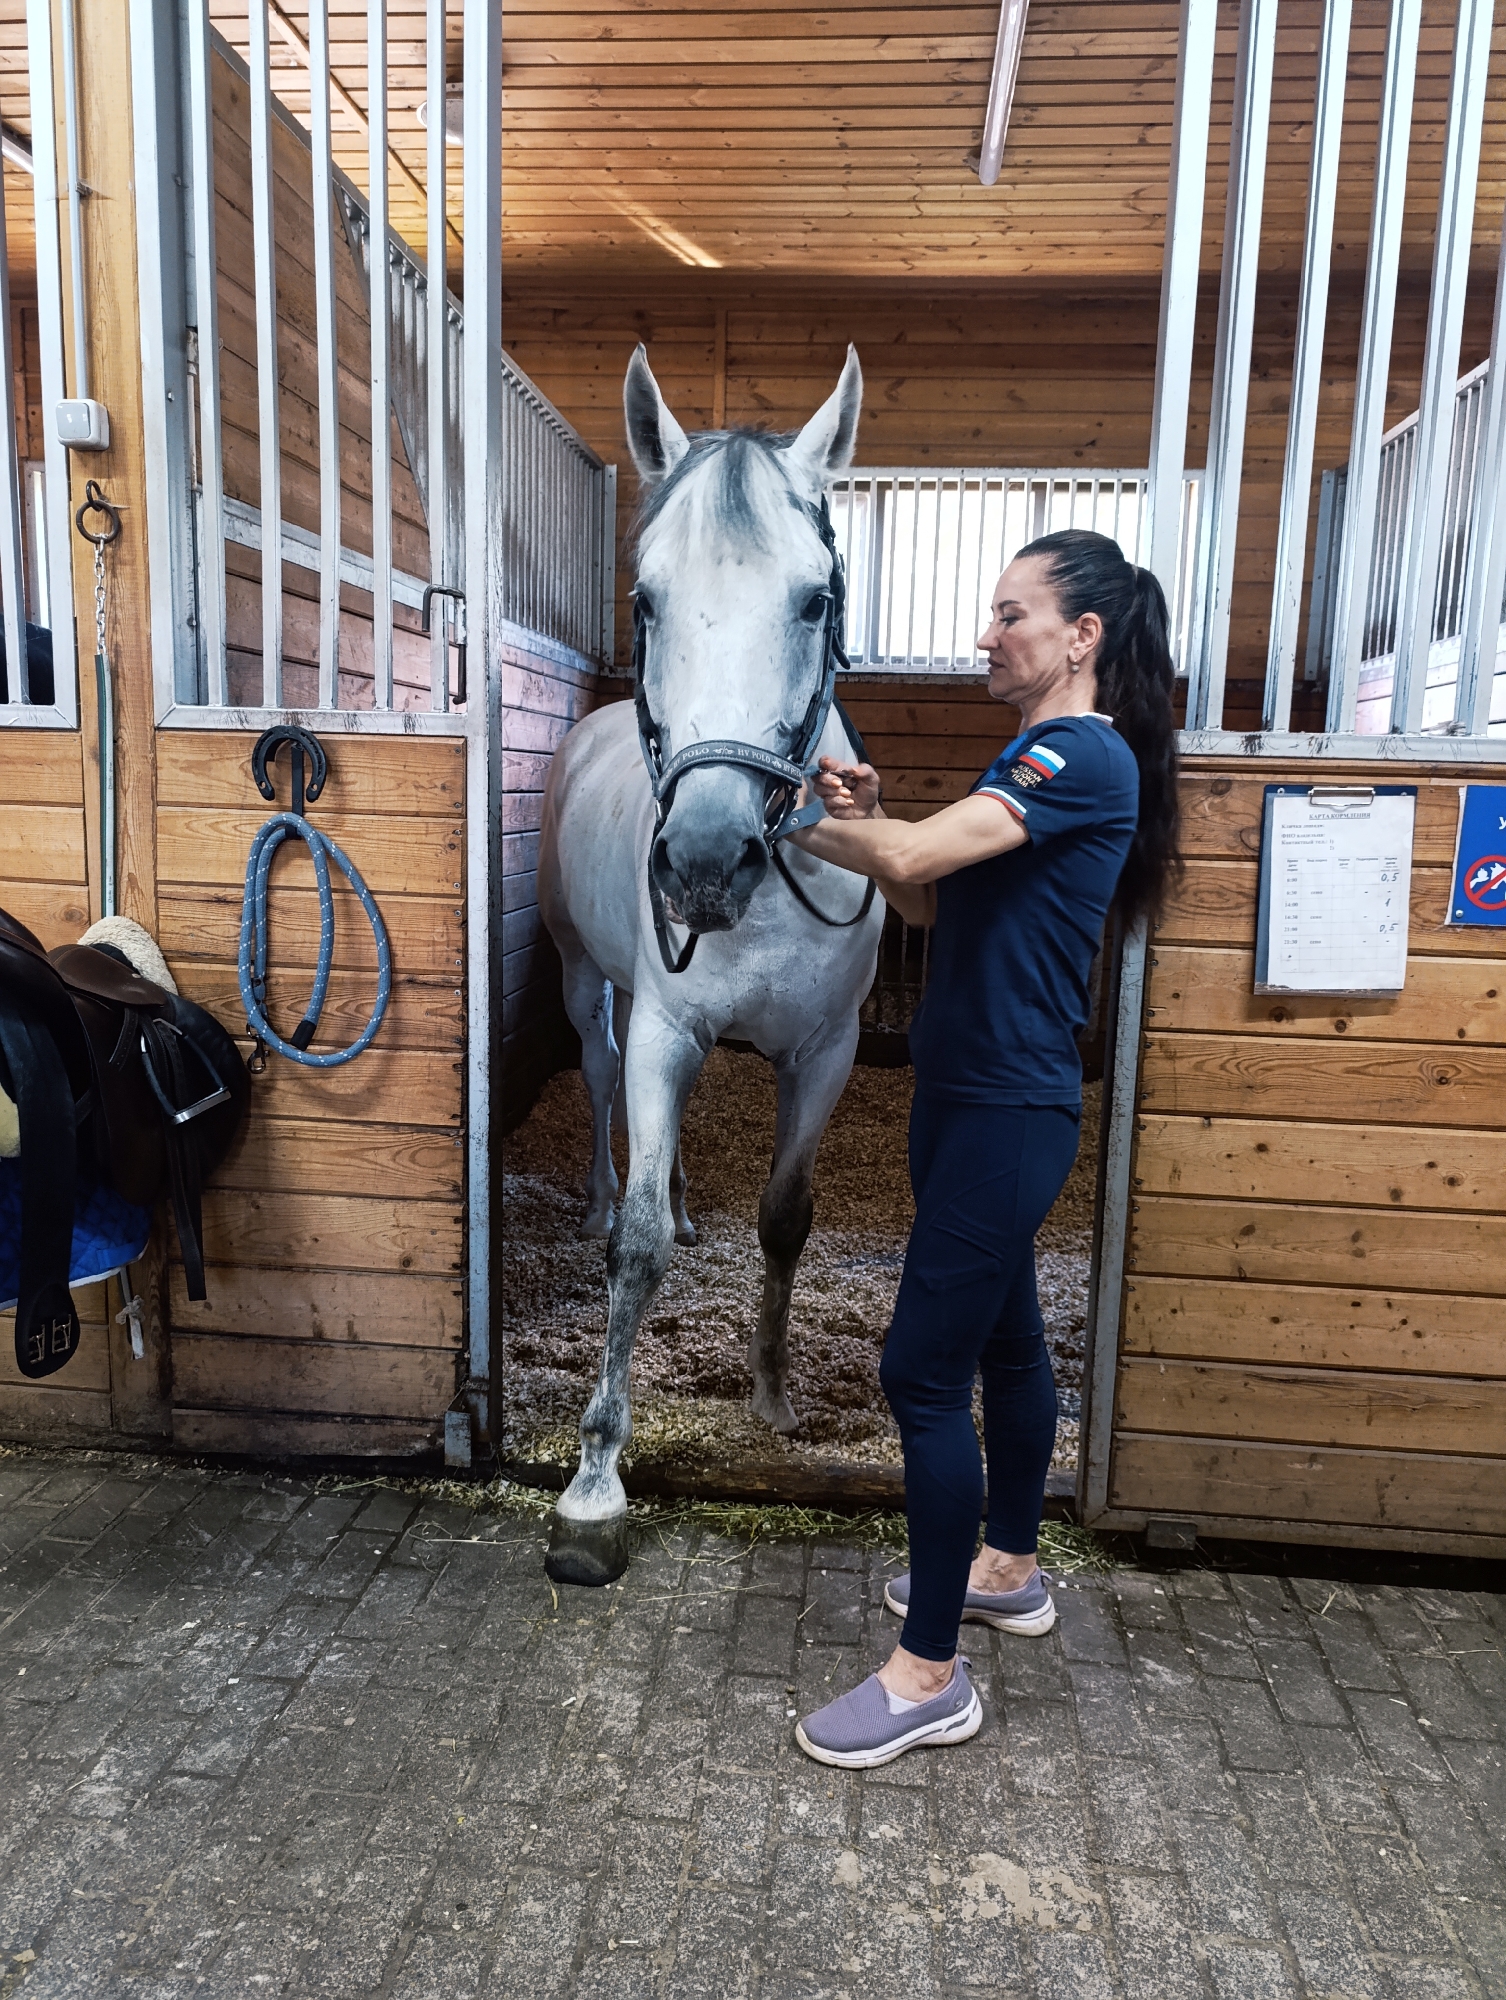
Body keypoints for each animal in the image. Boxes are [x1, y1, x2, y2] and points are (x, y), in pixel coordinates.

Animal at [536, 343, 885, 1585]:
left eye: (817, 597)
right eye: (646, 599)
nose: (700, 861)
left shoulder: (825, 1055)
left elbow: (785, 1216)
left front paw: (774, 1399)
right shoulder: (663, 1032)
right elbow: (634, 1249)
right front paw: (595, 1477)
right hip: (592, 991)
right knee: (602, 1094)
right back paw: (605, 1190)